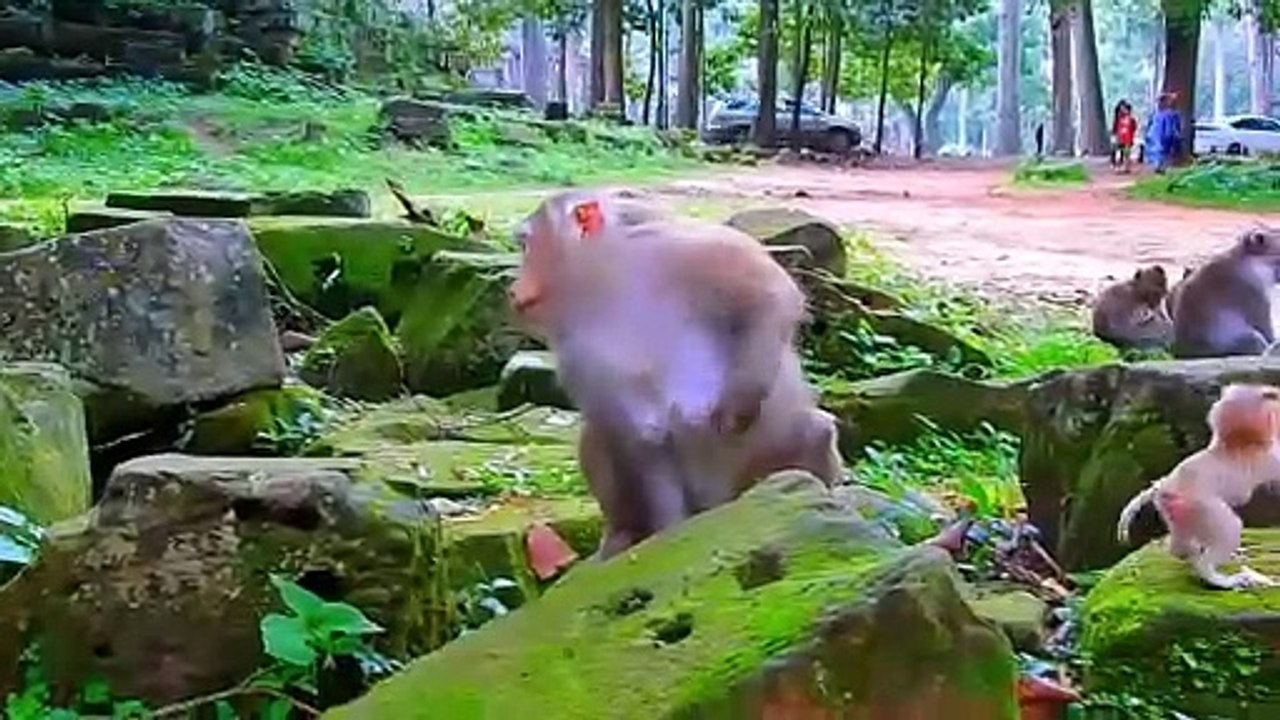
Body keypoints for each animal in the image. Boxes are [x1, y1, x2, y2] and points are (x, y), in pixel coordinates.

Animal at [509, 190, 843, 559]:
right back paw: (624, 534)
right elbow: (644, 439)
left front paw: (739, 404)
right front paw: (669, 534)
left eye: (525, 245)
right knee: (598, 437)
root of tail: (717, 500)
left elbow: (769, 295)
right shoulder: (573, 345)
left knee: (815, 432)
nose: (512, 288)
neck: (608, 279)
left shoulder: (681, 250)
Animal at [1117, 383, 1280, 590]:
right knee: (1227, 530)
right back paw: (1224, 577)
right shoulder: (1266, 456)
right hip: (1202, 508)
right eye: (1271, 396)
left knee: (1180, 544)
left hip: (1177, 513)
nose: (1274, 393)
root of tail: (1169, 492)